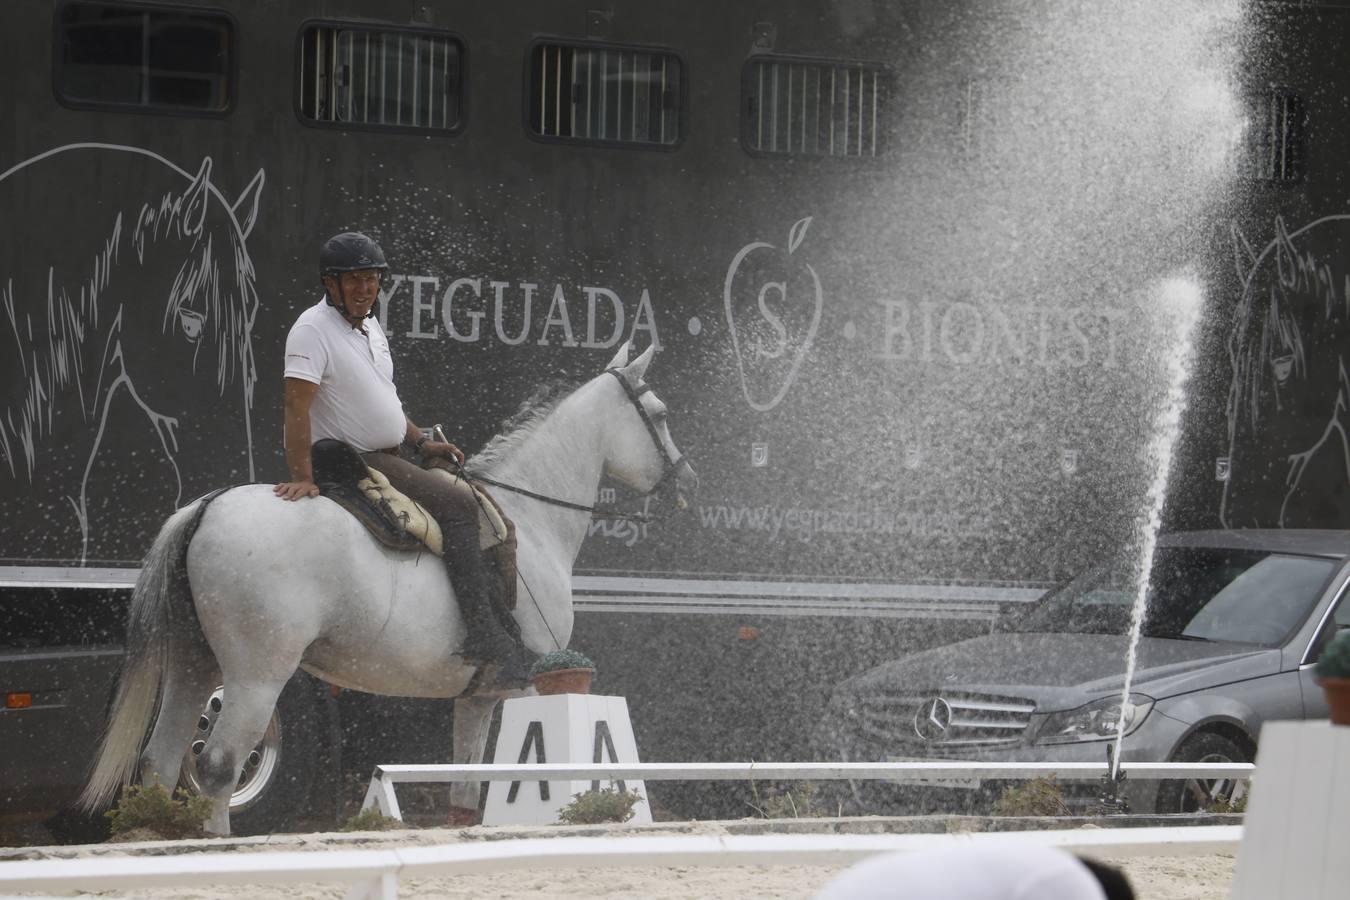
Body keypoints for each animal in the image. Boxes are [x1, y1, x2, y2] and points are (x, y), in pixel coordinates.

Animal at [80, 341, 696, 836]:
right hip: (257, 675)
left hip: (193, 663)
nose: (687, 477)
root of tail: (208, 508)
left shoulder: (479, 697)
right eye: (661, 414)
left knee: (159, 763)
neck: (532, 518)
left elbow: (467, 786)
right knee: (216, 766)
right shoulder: (534, 685)